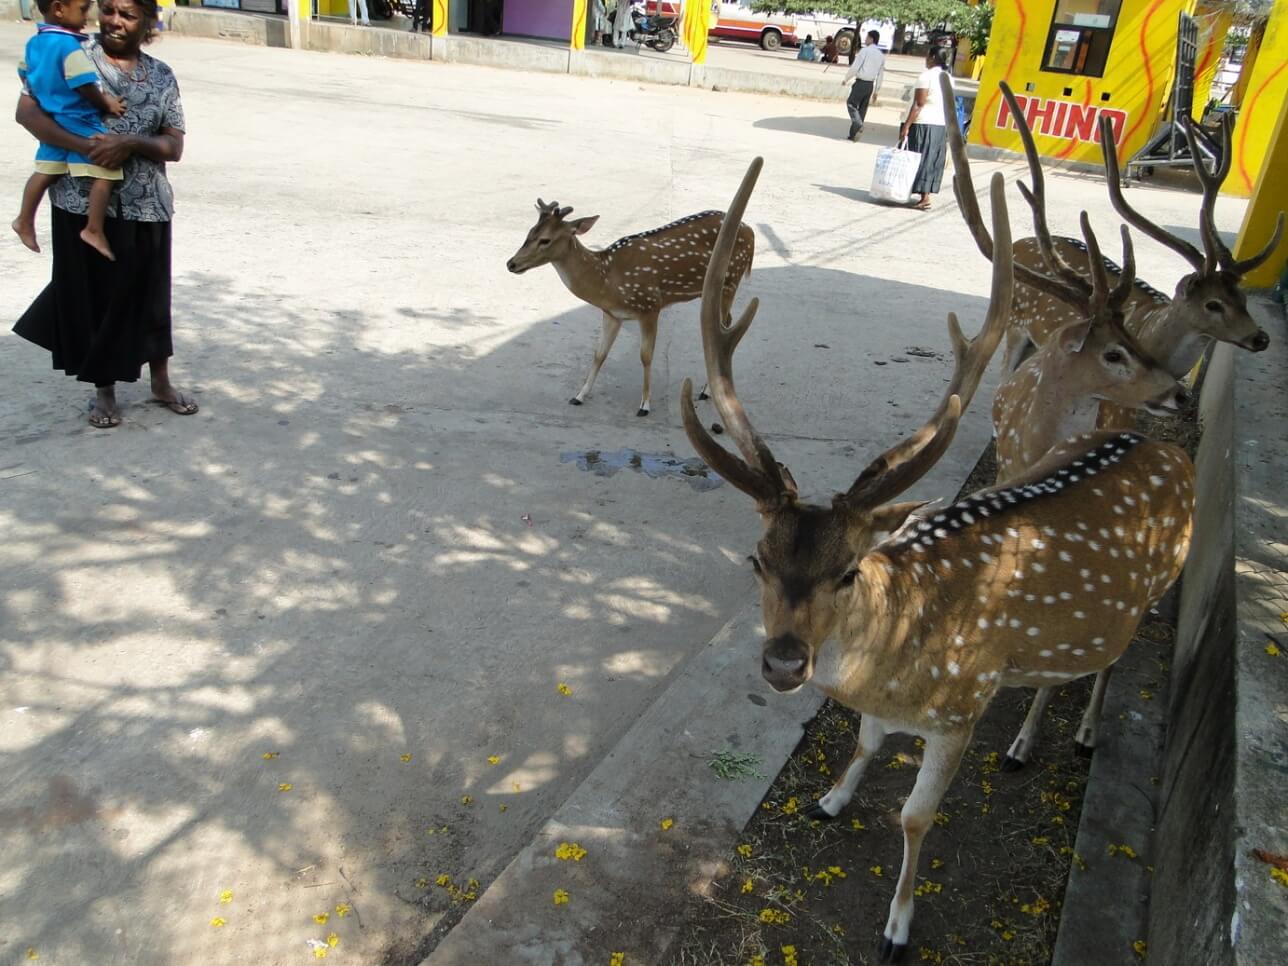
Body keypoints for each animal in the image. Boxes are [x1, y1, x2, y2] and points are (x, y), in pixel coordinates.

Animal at [504, 200, 752, 417]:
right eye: (530, 232)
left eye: (545, 240)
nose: (511, 263)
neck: (606, 279)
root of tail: (750, 231)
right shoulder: (611, 314)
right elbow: (599, 354)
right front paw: (579, 395)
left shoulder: (650, 305)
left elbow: (646, 356)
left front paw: (644, 405)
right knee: (727, 321)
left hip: (730, 280)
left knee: (724, 326)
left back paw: (706, 391)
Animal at [685, 159, 1195, 963]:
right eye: (757, 559)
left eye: (848, 570)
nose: (785, 662)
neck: (896, 662)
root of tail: (1165, 444)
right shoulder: (880, 708)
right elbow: (864, 742)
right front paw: (830, 799)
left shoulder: (961, 710)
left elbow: (915, 819)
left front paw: (897, 926)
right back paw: (1024, 741)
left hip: (1159, 583)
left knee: (1111, 662)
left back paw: (1076, 735)